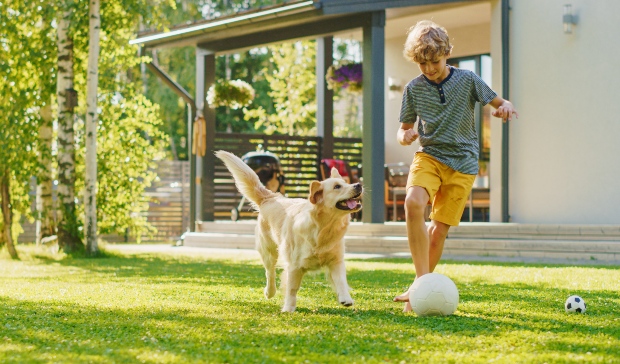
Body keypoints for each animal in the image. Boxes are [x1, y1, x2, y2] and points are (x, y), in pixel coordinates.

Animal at [214, 151, 364, 312]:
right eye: (337, 186)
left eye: (346, 183)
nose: (358, 184)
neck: (323, 228)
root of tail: (271, 197)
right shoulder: (294, 266)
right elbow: (292, 289)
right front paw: (288, 308)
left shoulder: (336, 260)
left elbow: (341, 281)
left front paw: (346, 298)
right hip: (268, 251)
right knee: (270, 272)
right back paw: (269, 292)